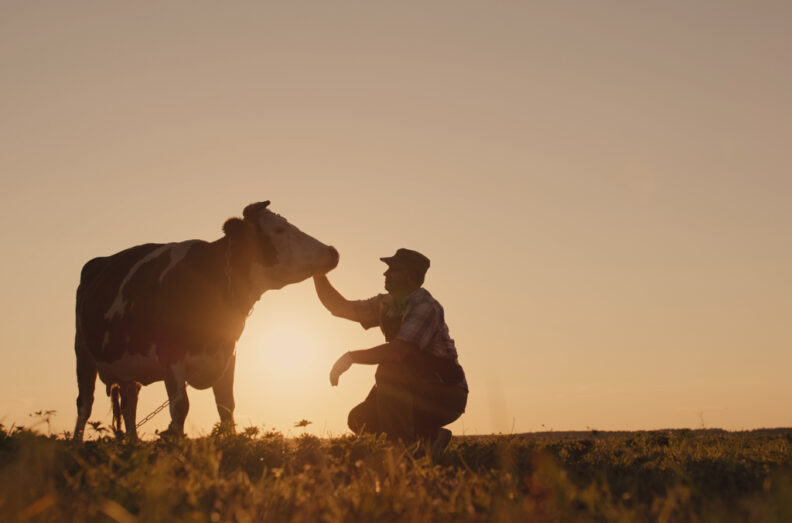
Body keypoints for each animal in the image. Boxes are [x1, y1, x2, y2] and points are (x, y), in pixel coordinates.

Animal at [72, 201, 338, 441]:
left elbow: (226, 407)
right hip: (83, 353)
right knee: (84, 403)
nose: (332, 251)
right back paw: (76, 444)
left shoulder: (228, 355)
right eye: (279, 230)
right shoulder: (172, 358)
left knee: (129, 405)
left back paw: (133, 445)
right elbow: (180, 408)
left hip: (129, 369)